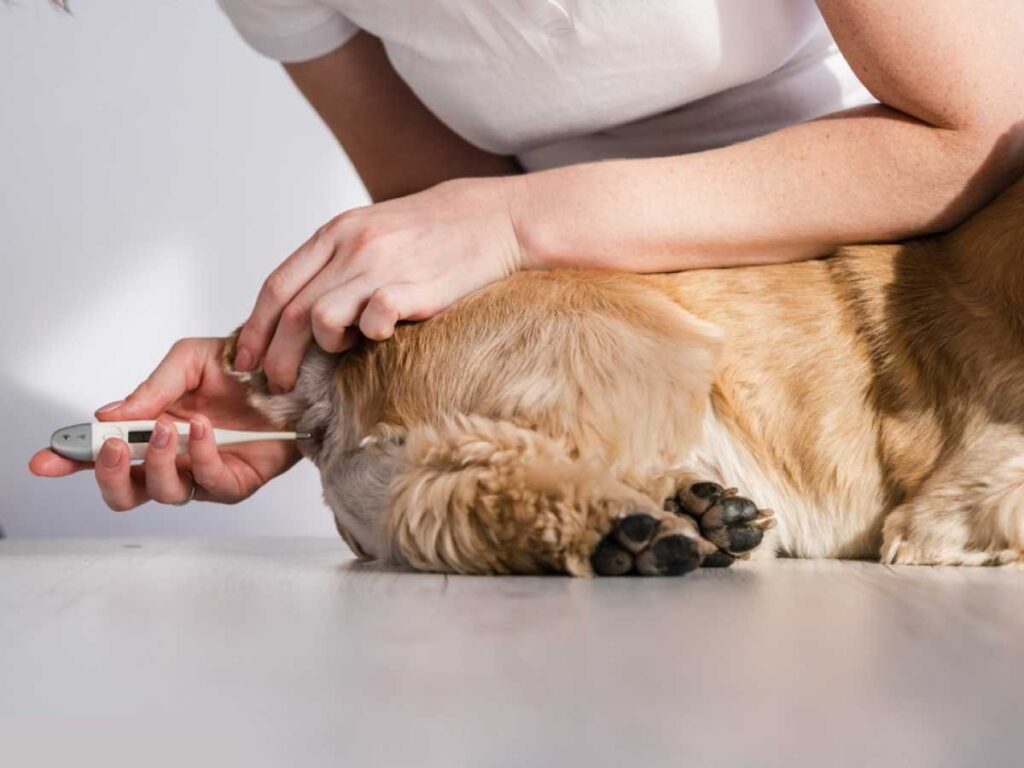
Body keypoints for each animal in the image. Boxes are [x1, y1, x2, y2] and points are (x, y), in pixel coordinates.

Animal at [224, 174, 1024, 577]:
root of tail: (338, 364)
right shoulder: (957, 500)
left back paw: (703, 515)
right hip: (640, 355)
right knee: (476, 484)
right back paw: (625, 533)